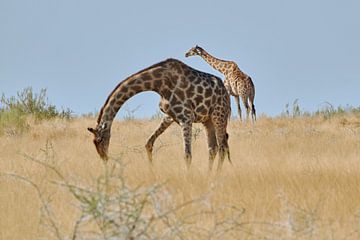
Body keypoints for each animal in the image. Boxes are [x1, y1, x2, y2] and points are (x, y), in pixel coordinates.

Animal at [87, 58, 231, 171]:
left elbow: (187, 155)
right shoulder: (170, 116)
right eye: (93, 142)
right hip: (207, 120)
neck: (158, 84)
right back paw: (209, 175)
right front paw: (152, 171)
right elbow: (148, 144)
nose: (104, 158)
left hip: (219, 115)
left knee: (222, 148)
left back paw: (216, 176)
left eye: (99, 140)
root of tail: (226, 93)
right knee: (213, 148)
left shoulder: (186, 117)